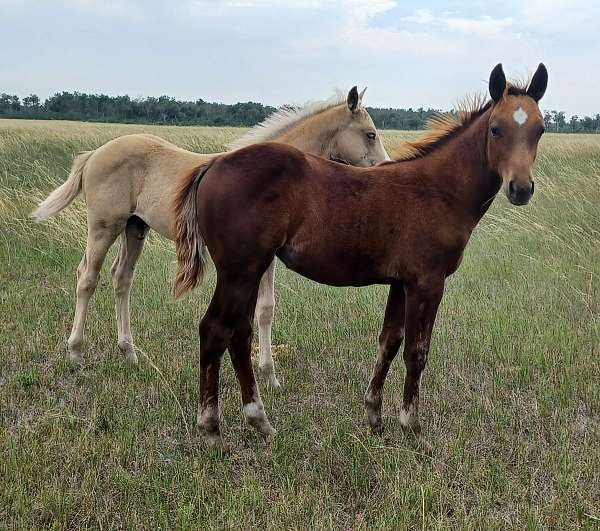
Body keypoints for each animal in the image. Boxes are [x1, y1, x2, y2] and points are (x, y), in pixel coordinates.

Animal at [34, 86, 390, 382]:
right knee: (87, 277)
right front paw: (266, 375)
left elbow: (264, 309)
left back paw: (129, 354)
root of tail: (95, 153)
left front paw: (265, 375)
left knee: (121, 278)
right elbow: (261, 310)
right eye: (371, 134)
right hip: (104, 226)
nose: (386, 170)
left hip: (135, 228)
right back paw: (75, 354)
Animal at [171, 64, 548, 450]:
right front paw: (412, 427)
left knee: (239, 334)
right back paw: (211, 429)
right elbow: (416, 351)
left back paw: (260, 421)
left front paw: (375, 418)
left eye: (540, 128)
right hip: (239, 271)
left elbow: (389, 343)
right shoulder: (427, 282)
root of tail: (214, 163)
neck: (440, 190)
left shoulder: (401, 283)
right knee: (214, 330)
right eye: (496, 129)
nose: (521, 188)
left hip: (251, 270)